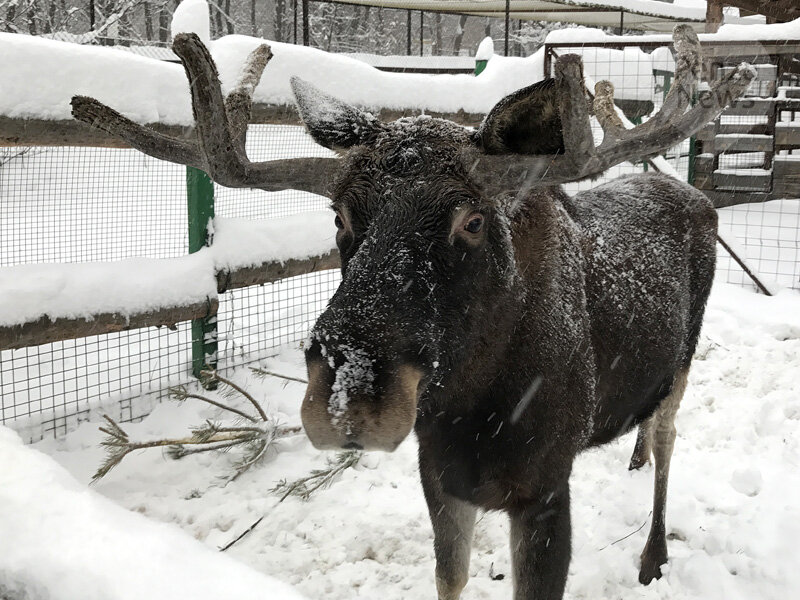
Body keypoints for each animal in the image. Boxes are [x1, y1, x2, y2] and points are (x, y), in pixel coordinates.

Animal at [72, 30, 752, 600]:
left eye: (472, 220)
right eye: (340, 215)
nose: (349, 395)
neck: (475, 410)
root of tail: (693, 193)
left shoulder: (543, 488)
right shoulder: (440, 478)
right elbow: (449, 580)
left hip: (684, 360)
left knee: (668, 437)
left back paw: (653, 554)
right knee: (648, 431)